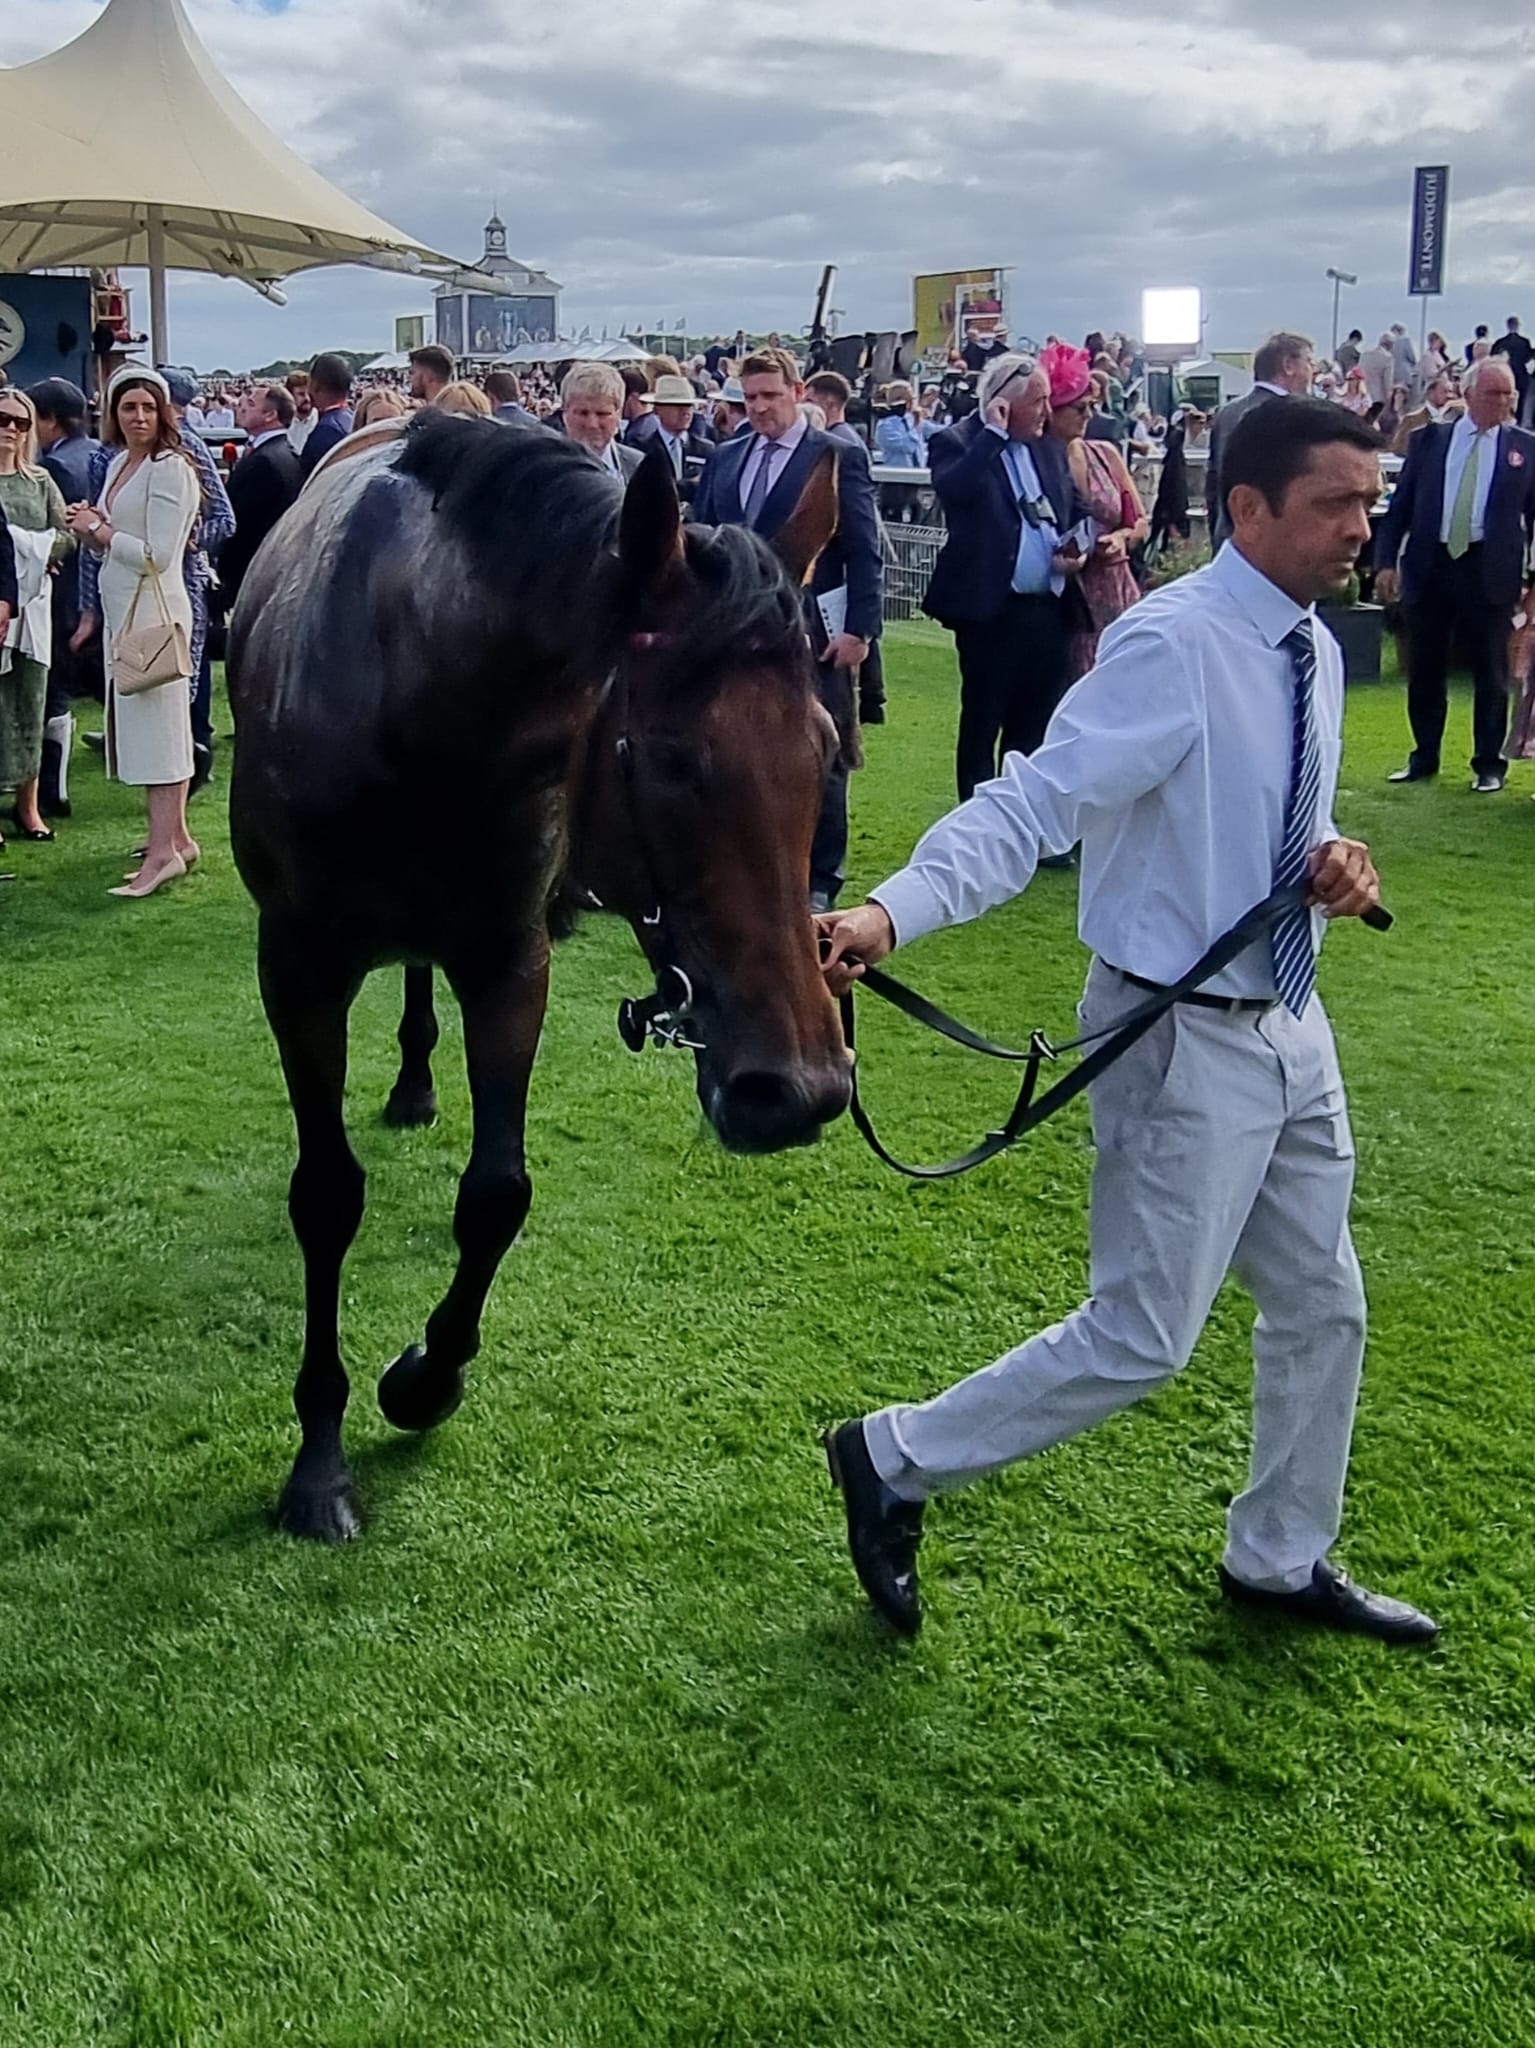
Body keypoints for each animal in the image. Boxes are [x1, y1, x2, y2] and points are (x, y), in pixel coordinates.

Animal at [228, 413, 853, 1542]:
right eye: (667, 757)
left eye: (824, 750)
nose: (799, 1088)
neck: (409, 693)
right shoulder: (297, 968)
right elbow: (327, 1196)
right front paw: (319, 1458)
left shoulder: (509, 958)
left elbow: (496, 1194)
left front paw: (424, 1377)